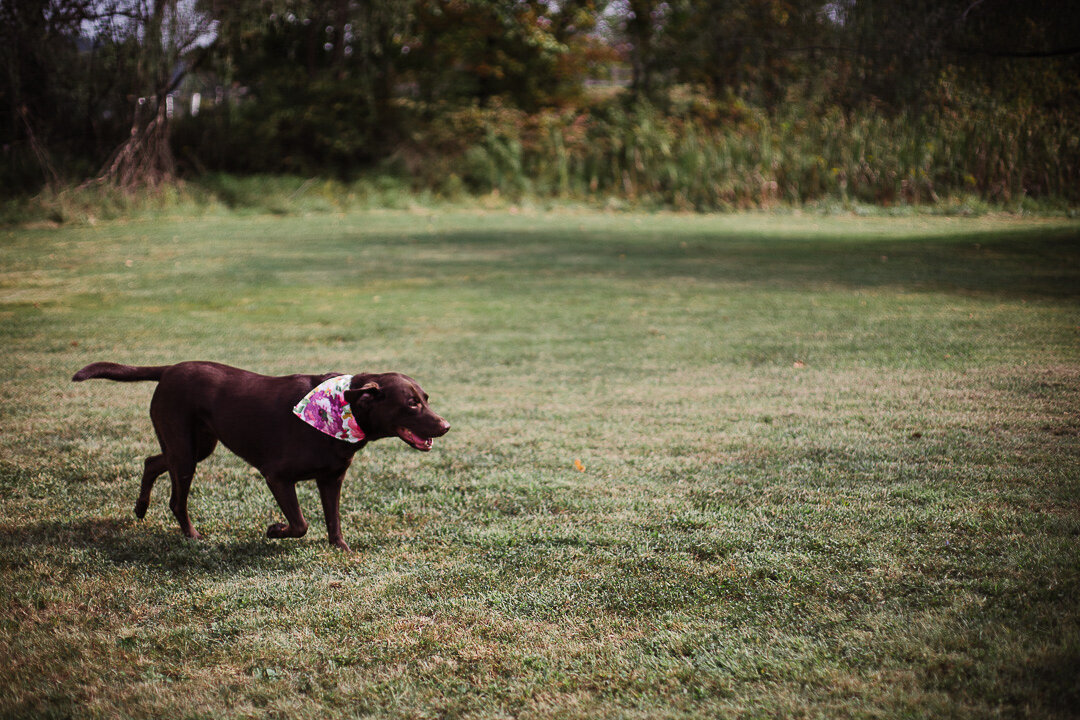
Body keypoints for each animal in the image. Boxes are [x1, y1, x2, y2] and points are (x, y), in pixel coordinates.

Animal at [70, 360, 451, 552]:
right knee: (177, 500)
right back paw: (192, 537)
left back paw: (140, 508)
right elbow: (300, 524)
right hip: (185, 450)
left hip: (196, 446)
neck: (346, 408)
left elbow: (333, 519)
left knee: (152, 462)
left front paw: (339, 548)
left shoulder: (331, 479)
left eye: (426, 398)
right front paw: (274, 529)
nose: (446, 425)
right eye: (411, 404)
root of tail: (169, 369)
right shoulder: (277, 476)